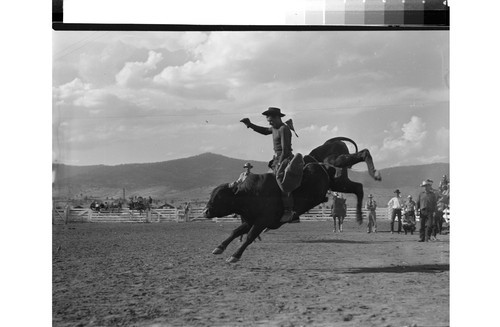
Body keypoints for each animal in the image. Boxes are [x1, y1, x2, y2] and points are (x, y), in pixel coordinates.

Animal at [201, 136, 380, 264]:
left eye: (219, 197)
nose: (205, 211)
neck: (250, 195)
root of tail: (316, 159)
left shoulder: (262, 221)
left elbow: (249, 237)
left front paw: (235, 256)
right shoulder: (250, 220)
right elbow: (236, 231)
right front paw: (219, 247)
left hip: (336, 162)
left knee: (363, 154)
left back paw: (375, 174)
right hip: (338, 181)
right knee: (358, 187)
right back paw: (359, 216)